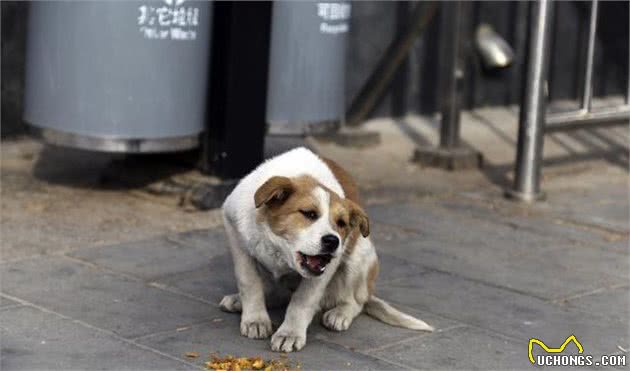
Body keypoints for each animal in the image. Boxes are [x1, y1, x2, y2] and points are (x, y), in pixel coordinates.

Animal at [220, 147, 432, 354]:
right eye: (309, 214)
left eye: (341, 223)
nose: (333, 241)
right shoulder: (234, 230)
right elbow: (249, 282)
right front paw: (255, 319)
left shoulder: (327, 267)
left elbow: (303, 299)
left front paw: (290, 333)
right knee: (277, 293)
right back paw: (240, 301)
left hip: (359, 256)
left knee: (355, 301)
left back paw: (340, 313)